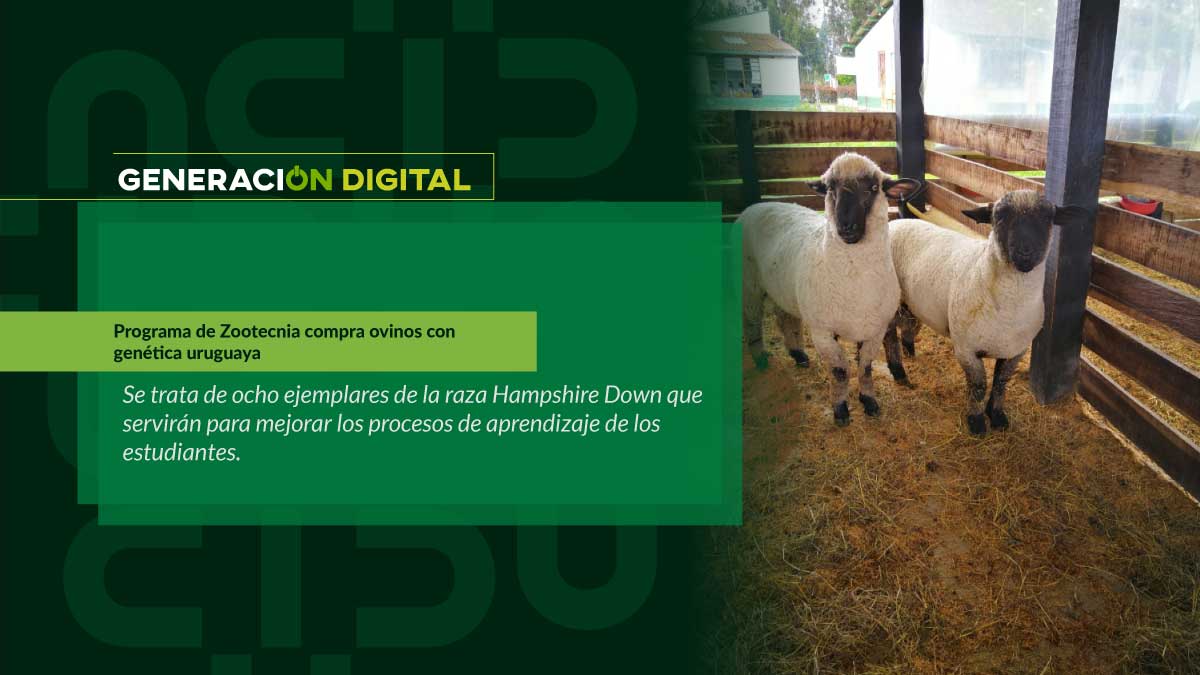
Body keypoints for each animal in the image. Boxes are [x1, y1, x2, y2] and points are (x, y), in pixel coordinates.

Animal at [741, 152, 922, 426]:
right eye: (830, 189)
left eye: (873, 188)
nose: (846, 227)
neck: (856, 284)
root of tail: (757, 206)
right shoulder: (823, 332)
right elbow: (840, 372)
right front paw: (841, 410)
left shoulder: (874, 329)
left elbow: (865, 368)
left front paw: (869, 401)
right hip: (749, 283)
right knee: (752, 322)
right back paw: (761, 359)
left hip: (783, 289)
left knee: (785, 317)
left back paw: (798, 355)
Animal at [882, 190, 1087, 434]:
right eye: (1000, 216)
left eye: (1048, 217)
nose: (1025, 252)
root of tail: (895, 222)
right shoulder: (966, 350)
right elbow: (979, 386)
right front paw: (977, 422)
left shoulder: (1015, 351)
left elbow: (1000, 384)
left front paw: (997, 417)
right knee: (889, 337)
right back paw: (899, 372)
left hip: (910, 301)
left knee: (907, 324)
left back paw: (909, 352)